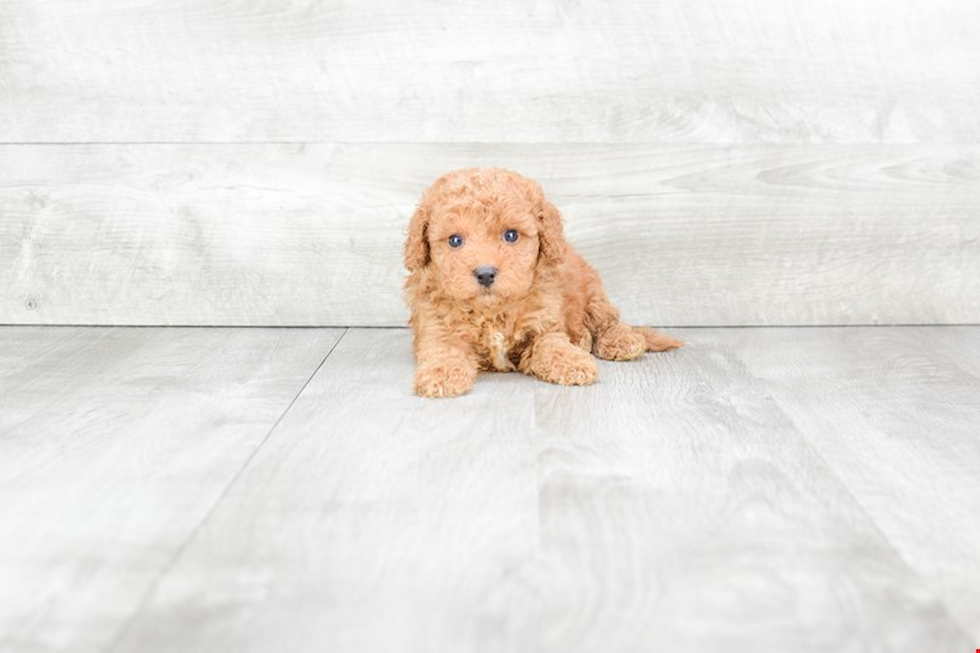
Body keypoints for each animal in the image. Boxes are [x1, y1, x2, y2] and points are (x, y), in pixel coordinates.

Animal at [402, 167, 676, 398]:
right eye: (455, 240)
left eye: (511, 235)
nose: (485, 273)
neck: (492, 312)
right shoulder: (437, 326)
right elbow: (443, 350)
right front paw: (440, 376)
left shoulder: (544, 323)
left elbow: (551, 344)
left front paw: (572, 362)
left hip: (592, 293)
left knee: (607, 321)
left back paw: (620, 340)